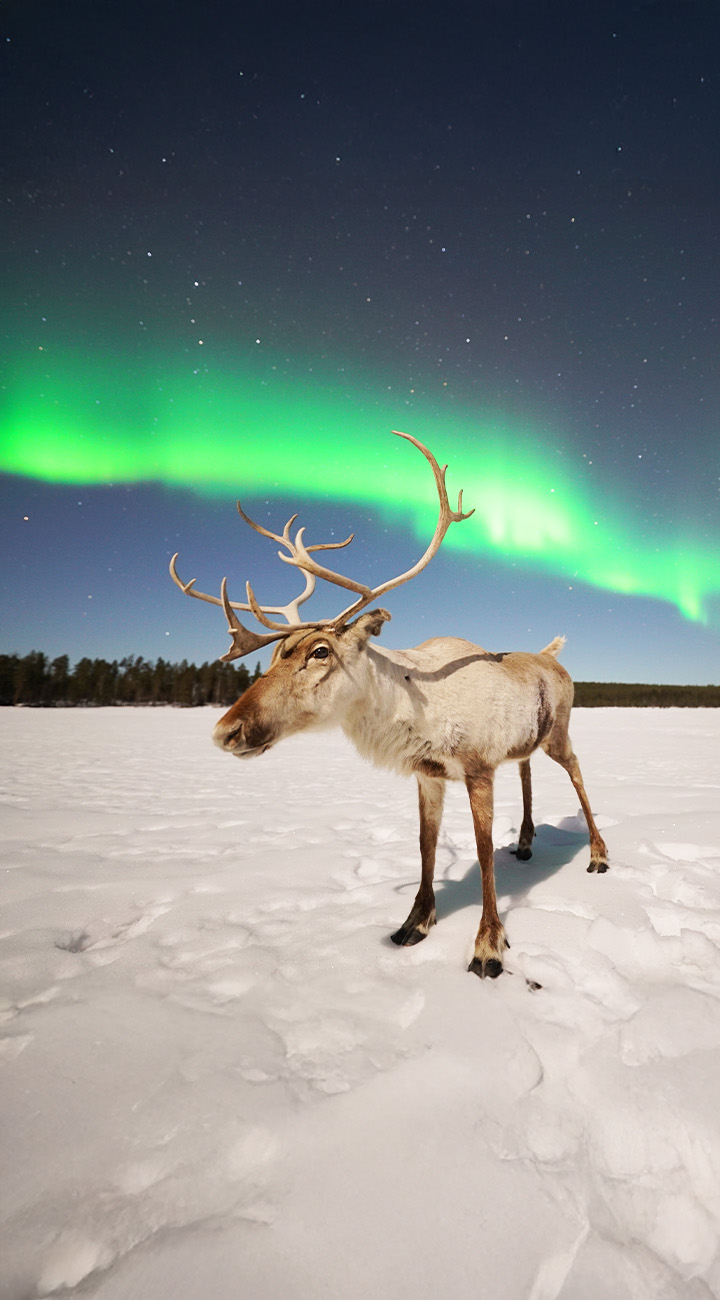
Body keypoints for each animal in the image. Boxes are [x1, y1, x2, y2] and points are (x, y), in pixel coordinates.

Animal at [170, 432, 608, 978]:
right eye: (274, 655)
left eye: (320, 651)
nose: (226, 731)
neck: (417, 705)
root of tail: (553, 657)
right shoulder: (429, 773)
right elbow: (425, 847)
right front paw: (413, 924)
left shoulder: (478, 768)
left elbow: (483, 851)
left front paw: (488, 947)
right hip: (525, 743)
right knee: (527, 771)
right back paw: (526, 844)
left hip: (559, 733)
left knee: (578, 773)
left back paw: (598, 855)